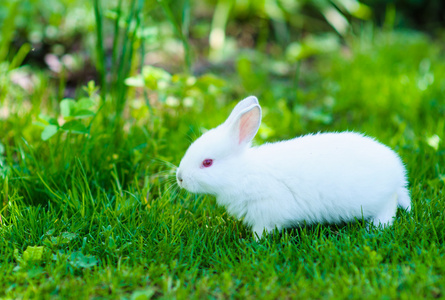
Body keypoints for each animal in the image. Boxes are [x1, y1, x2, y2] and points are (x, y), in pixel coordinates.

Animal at [175, 95, 412, 238]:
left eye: (207, 163)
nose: (180, 178)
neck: (242, 174)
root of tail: (397, 172)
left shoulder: (266, 211)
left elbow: (262, 230)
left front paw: (254, 241)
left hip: (377, 199)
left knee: (389, 206)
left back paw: (376, 226)